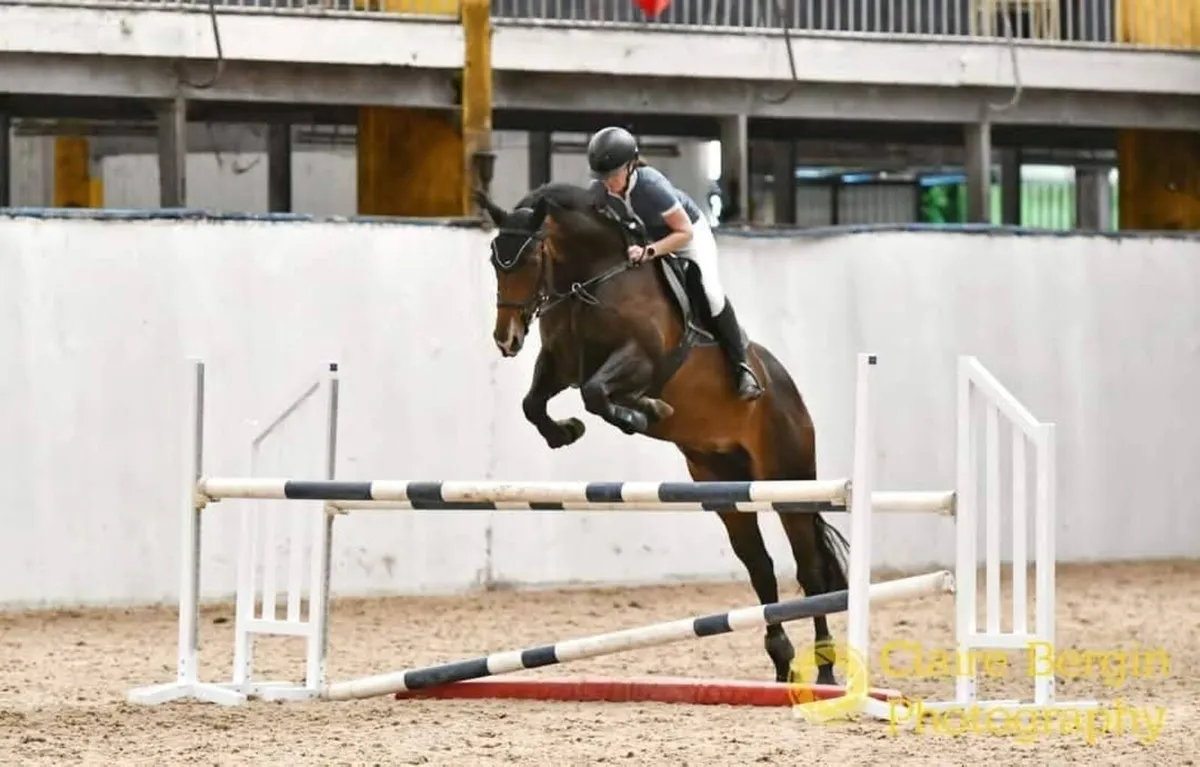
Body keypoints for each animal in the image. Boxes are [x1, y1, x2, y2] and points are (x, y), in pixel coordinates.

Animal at [475, 181, 849, 687]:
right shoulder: (560, 363)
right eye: (496, 260)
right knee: (761, 567)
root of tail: (787, 388)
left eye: (532, 257)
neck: (590, 280)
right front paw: (566, 432)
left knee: (810, 571)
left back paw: (825, 674)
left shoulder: (639, 359)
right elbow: (537, 403)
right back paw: (781, 662)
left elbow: (597, 392)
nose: (506, 340)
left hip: (788, 479)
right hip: (723, 484)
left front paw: (644, 412)